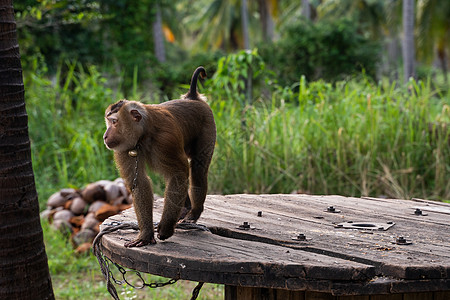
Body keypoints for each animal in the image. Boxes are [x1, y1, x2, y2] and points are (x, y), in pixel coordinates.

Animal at [104, 67, 217, 247]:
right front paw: (145, 234)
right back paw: (185, 208)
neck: (144, 134)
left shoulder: (166, 141)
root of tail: (193, 98)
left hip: (207, 124)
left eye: (114, 122)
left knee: (198, 168)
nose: (105, 136)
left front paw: (166, 228)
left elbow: (178, 175)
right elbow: (140, 182)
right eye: (109, 122)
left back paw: (194, 212)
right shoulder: (125, 147)